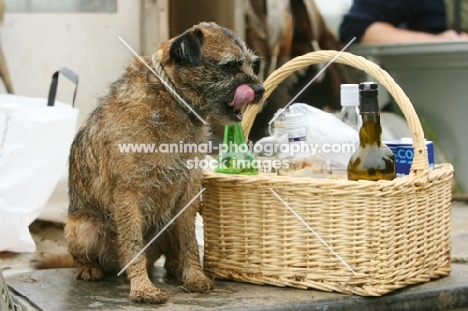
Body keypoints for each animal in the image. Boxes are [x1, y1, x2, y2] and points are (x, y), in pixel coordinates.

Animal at [64, 22, 266, 304]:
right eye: (230, 66)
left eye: (250, 63)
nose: (260, 90)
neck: (172, 101)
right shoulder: (127, 193)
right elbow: (133, 243)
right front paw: (142, 288)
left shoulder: (190, 191)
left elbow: (190, 240)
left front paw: (194, 277)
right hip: (81, 229)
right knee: (90, 256)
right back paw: (90, 268)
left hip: (169, 220)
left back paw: (176, 267)